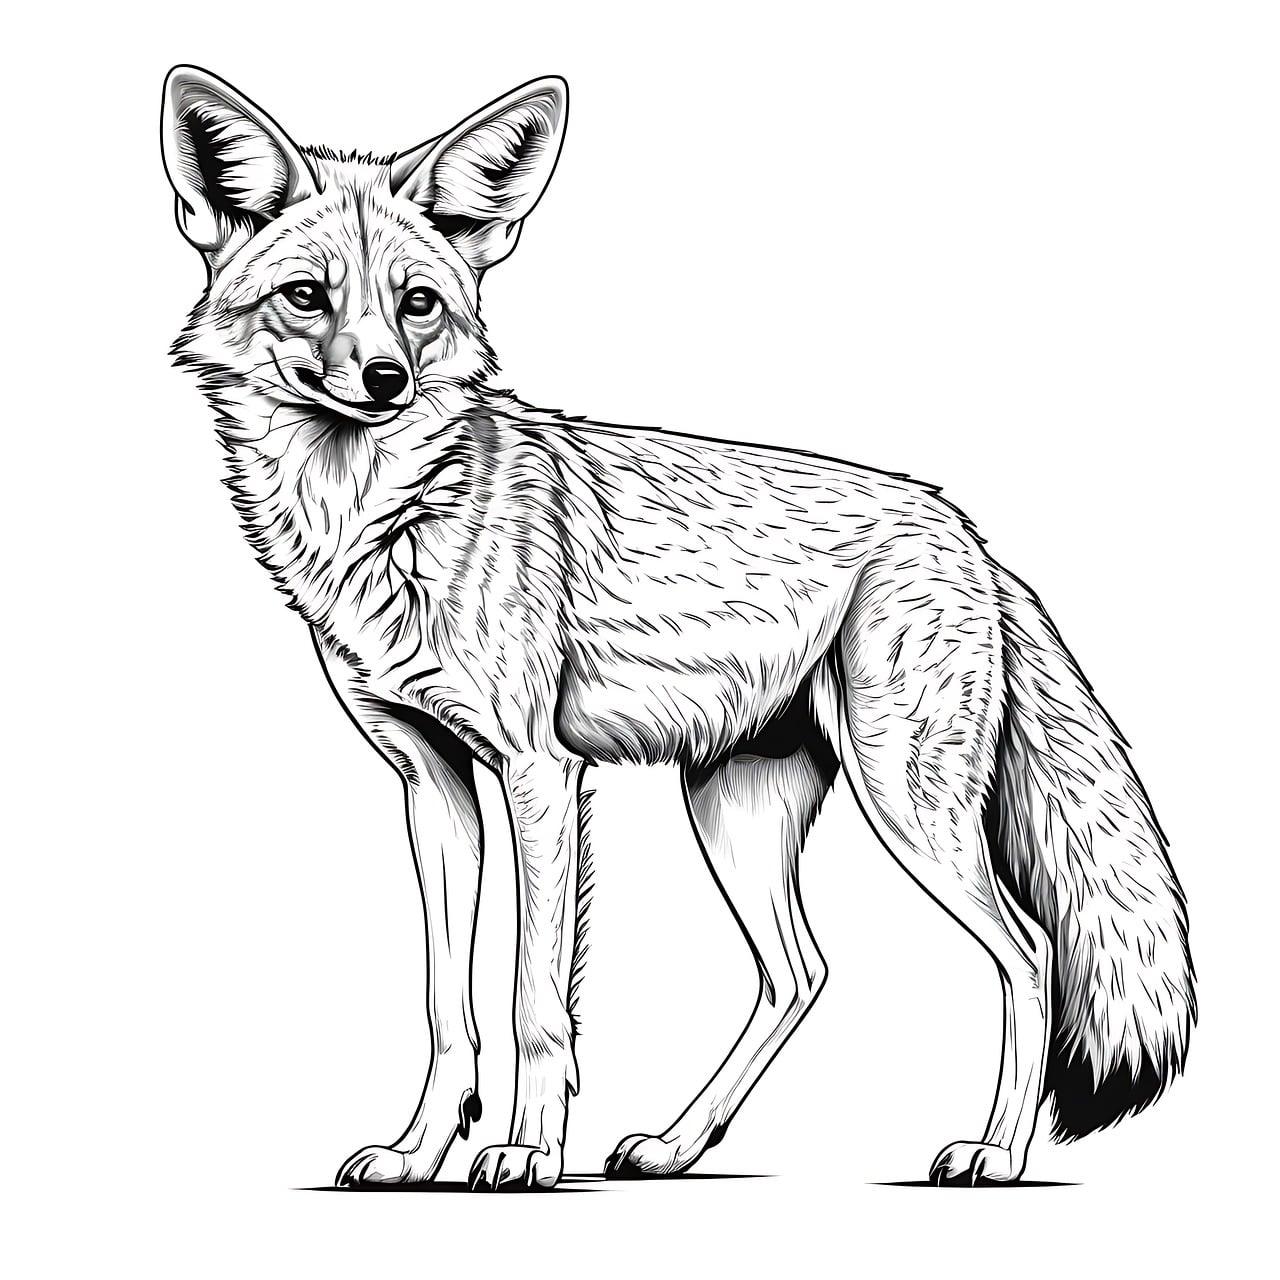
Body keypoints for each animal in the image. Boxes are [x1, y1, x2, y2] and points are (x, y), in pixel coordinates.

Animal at [161, 65, 1195, 1191]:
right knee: (801, 972)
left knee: (1029, 950)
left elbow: (532, 1004)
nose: (385, 379)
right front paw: (418, 1150)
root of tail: (962, 527)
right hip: (736, 809)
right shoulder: (429, 782)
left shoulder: (539, 773)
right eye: (307, 296)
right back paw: (676, 1141)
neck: (382, 519)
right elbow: (446, 1007)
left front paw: (526, 1150)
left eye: (416, 304)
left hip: (906, 804)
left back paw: (995, 1151)